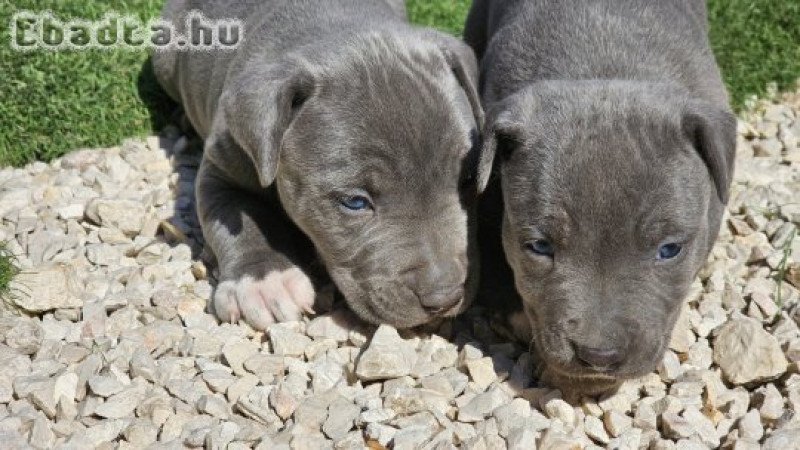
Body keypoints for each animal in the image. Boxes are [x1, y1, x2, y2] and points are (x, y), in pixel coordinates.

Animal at [152, 0, 484, 330]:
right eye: (355, 202)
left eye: (468, 180)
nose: (444, 296)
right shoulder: (221, 170)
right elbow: (237, 218)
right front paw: (265, 282)